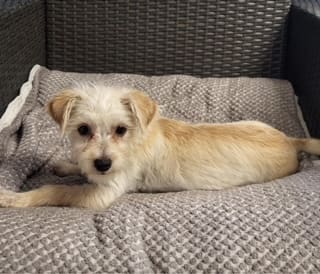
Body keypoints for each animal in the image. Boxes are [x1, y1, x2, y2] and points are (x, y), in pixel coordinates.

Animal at [0, 84, 320, 209]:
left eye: (121, 130)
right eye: (83, 130)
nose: (103, 164)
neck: (133, 142)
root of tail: (290, 140)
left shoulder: (102, 194)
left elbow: (53, 190)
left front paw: (14, 198)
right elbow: (76, 168)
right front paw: (68, 165)